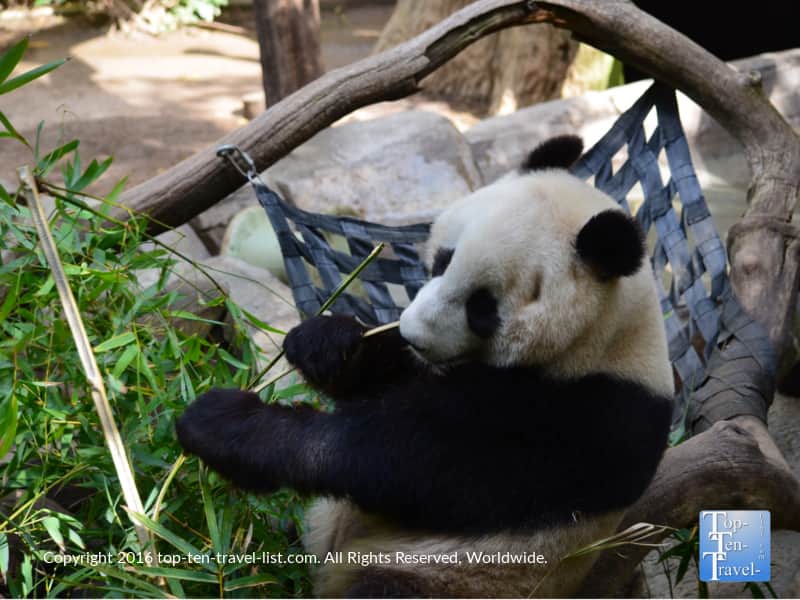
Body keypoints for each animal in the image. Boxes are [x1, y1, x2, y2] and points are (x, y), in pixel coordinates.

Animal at [176, 135, 674, 598]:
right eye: (442, 259)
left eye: (482, 308)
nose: (412, 332)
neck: (606, 338)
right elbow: (392, 381)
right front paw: (327, 343)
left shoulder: (584, 419)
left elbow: (412, 459)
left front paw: (224, 425)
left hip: (443, 575)